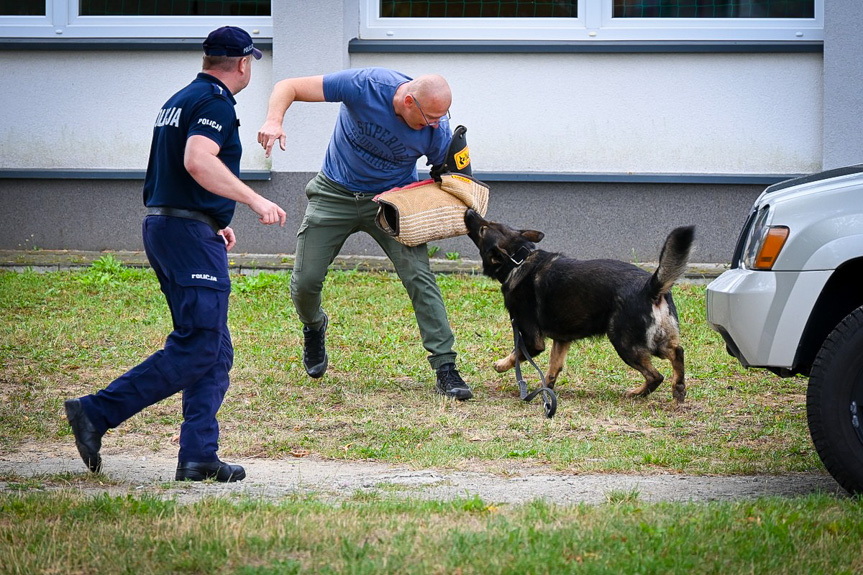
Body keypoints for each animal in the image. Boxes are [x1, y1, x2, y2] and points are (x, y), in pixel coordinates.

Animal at [466, 210, 696, 404]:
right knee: (677, 352)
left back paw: (638, 393)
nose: (470, 211)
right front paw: (546, 389)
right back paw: (678, 388)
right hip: (656, 338)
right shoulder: (562, 340)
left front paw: (501, 365)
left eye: (483, 229)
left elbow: (517, 354)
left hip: (625, 343)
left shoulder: (532, 341)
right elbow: (553, 367)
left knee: (656, 375)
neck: (519, 260)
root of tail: (650, 286)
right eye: (490, 222)